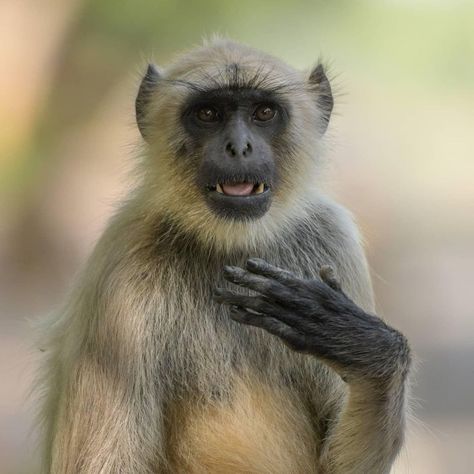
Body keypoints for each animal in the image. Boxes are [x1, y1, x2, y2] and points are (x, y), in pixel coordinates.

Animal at [37, 38, 410, 474]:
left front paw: (362, 347)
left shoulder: (331, 237)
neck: (231, 244)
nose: (239, 147)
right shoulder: (121, 265)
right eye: (208, 114)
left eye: (264, 112)